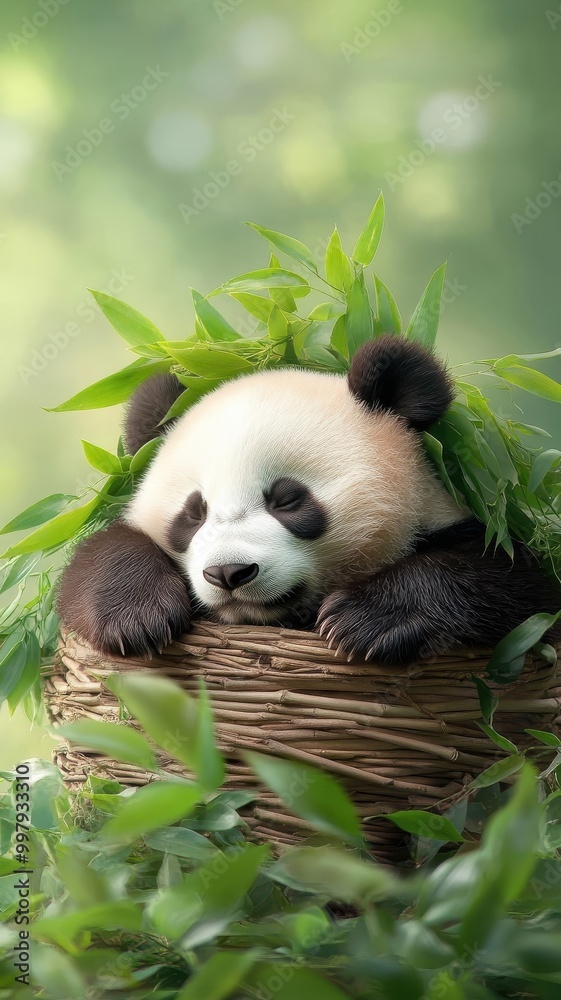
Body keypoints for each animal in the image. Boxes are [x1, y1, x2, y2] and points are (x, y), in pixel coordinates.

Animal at [58, 336, 561, 665]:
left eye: (287, 500)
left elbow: (516, 583)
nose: (228, 573)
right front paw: (136, 618)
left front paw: (363, 621)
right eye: (194, 512)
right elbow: (99, 556)